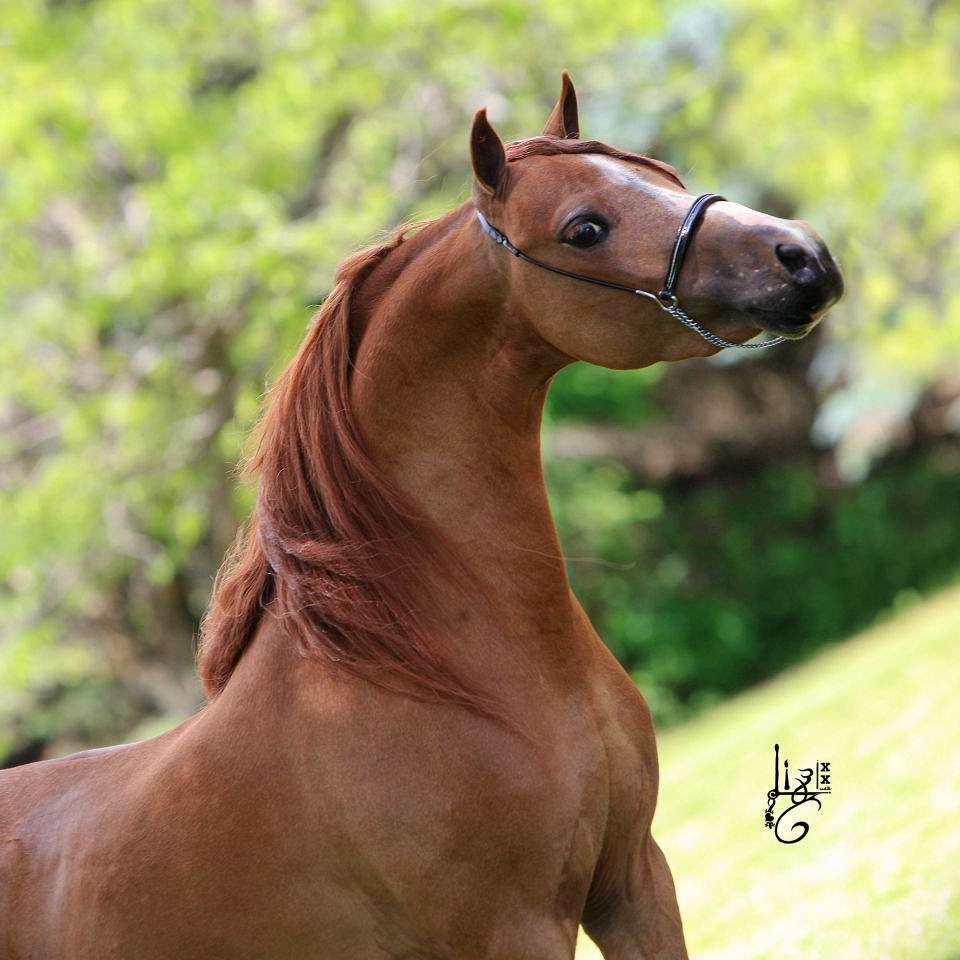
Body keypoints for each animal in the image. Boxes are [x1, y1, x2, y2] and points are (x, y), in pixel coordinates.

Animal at [0, 77, 840, 960]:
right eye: (584, 228)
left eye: (663, 174)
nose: (801, 257)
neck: (425, 672)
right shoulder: (511, 928)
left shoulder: (634, 880)